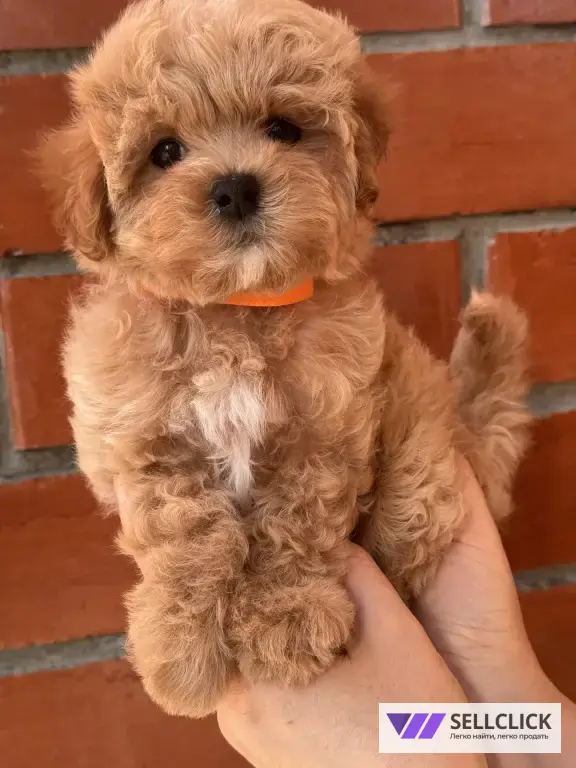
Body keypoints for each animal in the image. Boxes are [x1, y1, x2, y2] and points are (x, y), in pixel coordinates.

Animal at [39, 0, 531, 718]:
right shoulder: (144, 440)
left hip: (424, 453)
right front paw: (181, 650)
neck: (237, 308)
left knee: (407, 529)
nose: (235, 188)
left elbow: (292, 527)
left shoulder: (324, 431)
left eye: (283, 129)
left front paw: (288, 620)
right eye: (165, 151)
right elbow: (186, 536)